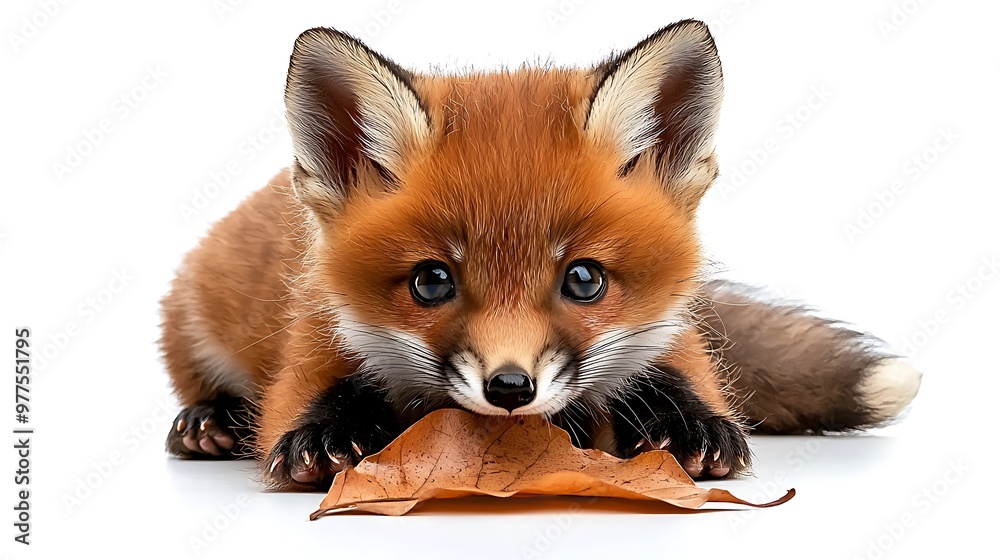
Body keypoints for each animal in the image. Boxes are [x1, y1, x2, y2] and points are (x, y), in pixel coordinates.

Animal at [160, 19, 922, 490]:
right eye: (431, 282)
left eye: (583, 280)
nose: (509, 388)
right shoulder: (317, 329)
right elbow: (306, 396)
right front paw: (322, 435)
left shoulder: (668, 326)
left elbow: (680, 374)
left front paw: (689, 423)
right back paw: (210, 420)